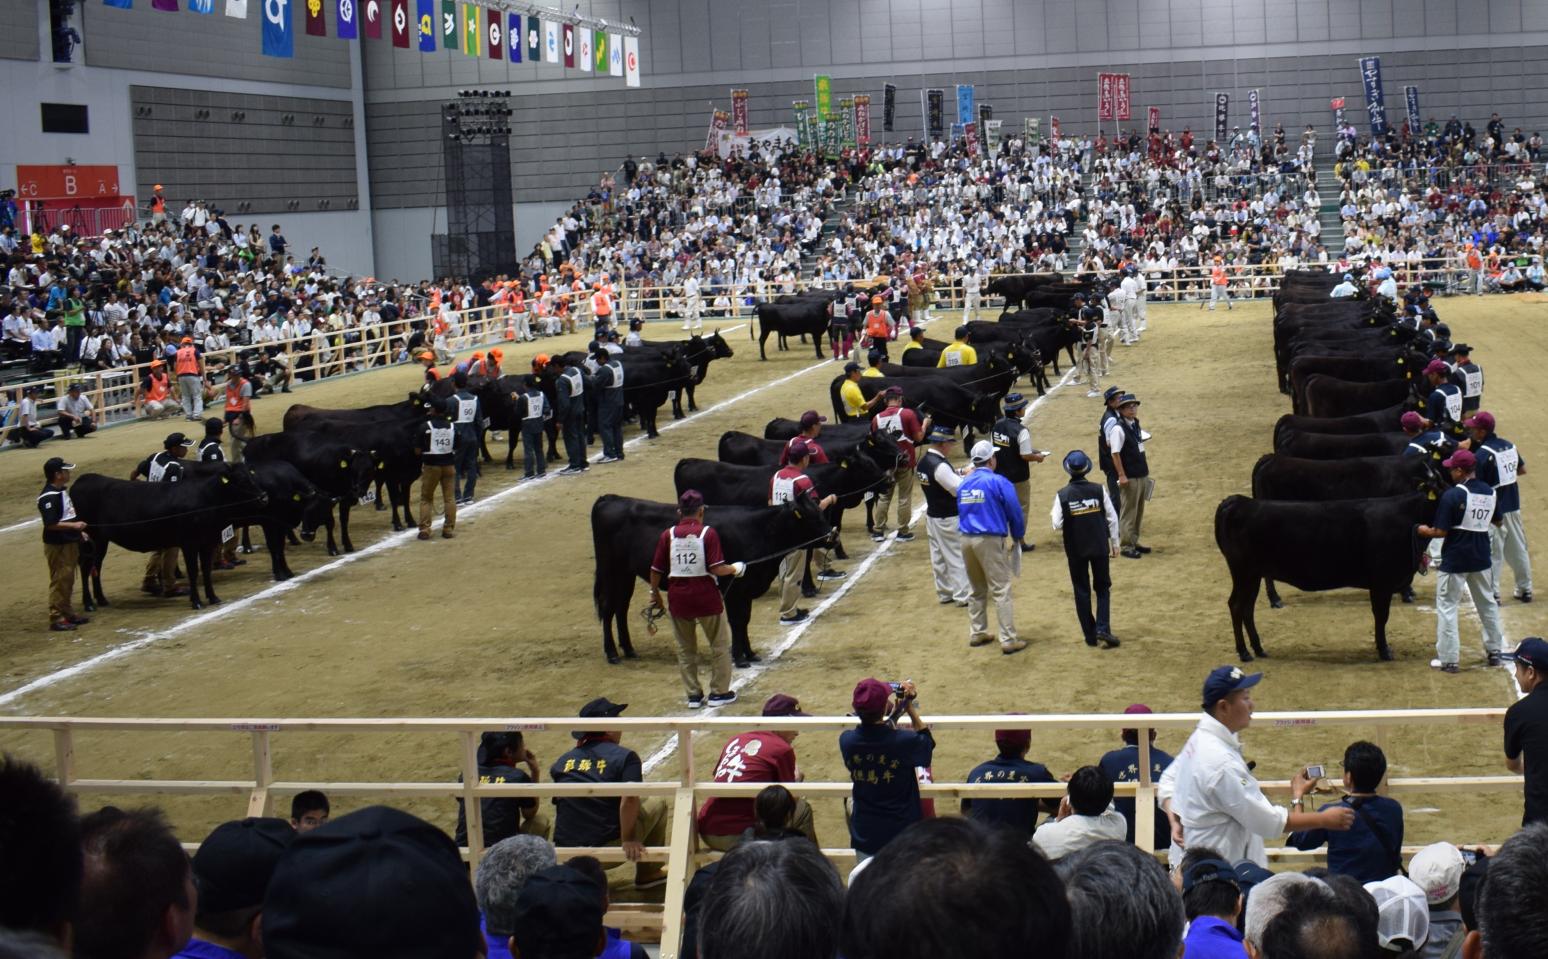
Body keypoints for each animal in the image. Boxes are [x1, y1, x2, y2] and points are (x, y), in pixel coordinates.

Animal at [71, 467, 272, 615]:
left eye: (252, 476)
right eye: (241, 481)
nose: (264, 497)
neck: (206, 499)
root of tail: (83, 480)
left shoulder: (207, 542)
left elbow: (206, 570)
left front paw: (213, 597)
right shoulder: (189, 543)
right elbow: (193, 571)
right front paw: (197, 601)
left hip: (100, 541)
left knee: (96, 566)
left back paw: (101, 599)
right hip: (91, 537)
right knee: (86, 567)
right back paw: (89, 604)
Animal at [588, 494, 835, 668]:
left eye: (822, 513)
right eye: (813, 517)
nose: (833, 536)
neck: (759, 530)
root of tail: (610, 498)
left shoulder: (746, 589)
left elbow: (744, 620)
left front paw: (750, 654)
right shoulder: (734, 589)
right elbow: (737, 621)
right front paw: (739, 658)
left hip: (625, 574)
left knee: (621, 607)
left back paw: (629, 649)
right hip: (611, 570)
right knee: (608, 608)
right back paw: (612, 653)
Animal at [1213, 491, 1430, 662]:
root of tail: (1238, 501)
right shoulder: (1382, 582)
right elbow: (1381, 616)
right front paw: (1384, 650)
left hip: (1252, 576)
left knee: (1247, 608)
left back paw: (1258, 648)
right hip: (1243, 572)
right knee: (1237, 606)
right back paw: (1244, 652)